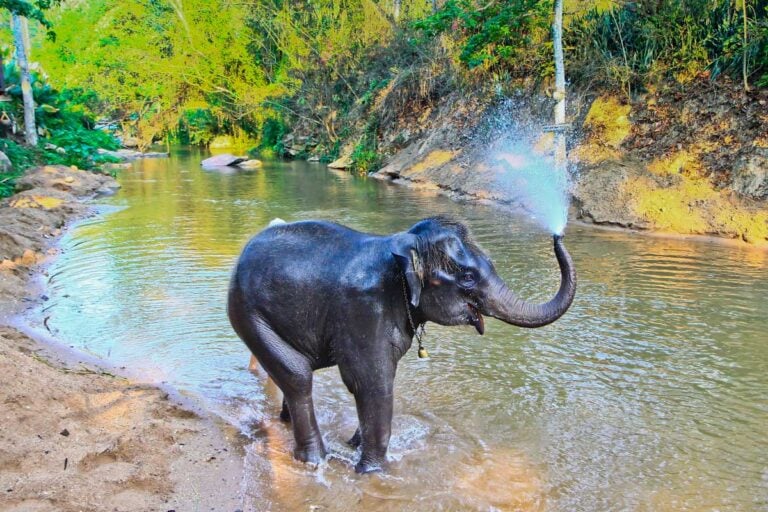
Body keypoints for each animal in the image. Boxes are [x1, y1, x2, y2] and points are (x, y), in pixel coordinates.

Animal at [227, 216, 576, 473]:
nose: (558, 235)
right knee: (298, 376)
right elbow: (372, 382)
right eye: (466, 277)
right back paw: (314, 461)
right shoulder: (362, 309)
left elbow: (379, 380)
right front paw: (372, 472)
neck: (402, 245)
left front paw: (355, 445)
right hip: (248, 312)